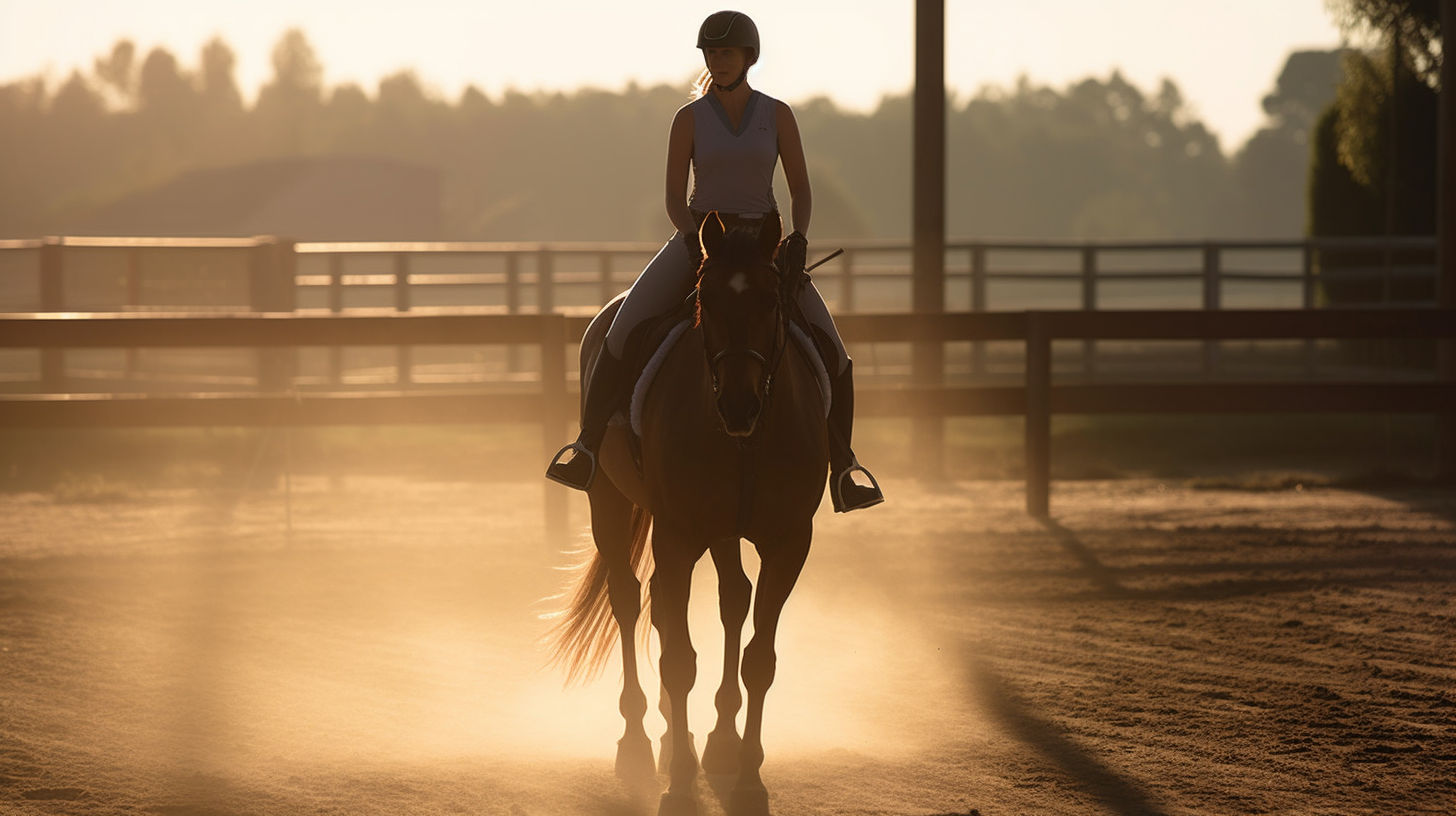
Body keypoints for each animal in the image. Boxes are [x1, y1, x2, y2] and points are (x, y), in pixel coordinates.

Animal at [550, 211, 832, 816]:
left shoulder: (789, 542)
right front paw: (679, 783)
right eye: (707, 299)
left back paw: (718, 740)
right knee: (630, 599)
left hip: (721, 532)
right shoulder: (677, 535)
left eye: (771, 301)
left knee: (729, 597)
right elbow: (678, 660)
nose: (739, 406)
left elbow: (759, 660)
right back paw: (637, 741)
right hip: (609, 502)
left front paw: (748, 781)